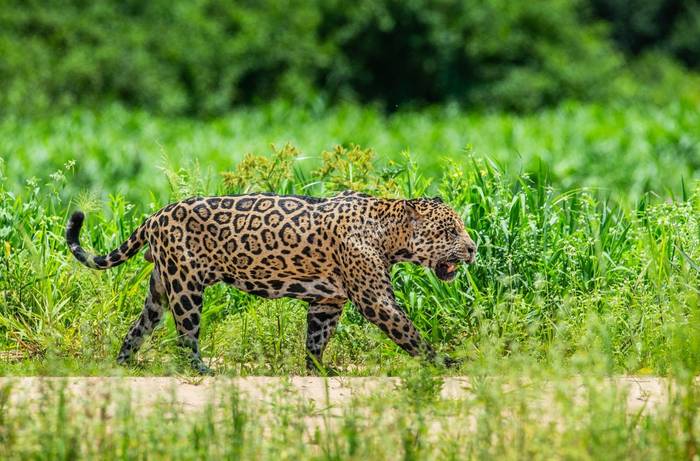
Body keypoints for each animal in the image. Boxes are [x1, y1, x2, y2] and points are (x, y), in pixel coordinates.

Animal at [66, 191, 477, 374]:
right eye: (449, 231)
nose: (473, 249)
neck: (389, 234)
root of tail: (155, 215)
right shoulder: (376, 299)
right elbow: (410, 333)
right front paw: (444, 362)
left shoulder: (328, 301)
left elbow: (316, 338)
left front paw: (317, 370)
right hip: (186, 286)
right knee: (186, 335)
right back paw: (201, 369)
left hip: (161, 287)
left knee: (139, 326)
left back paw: (123, 364)